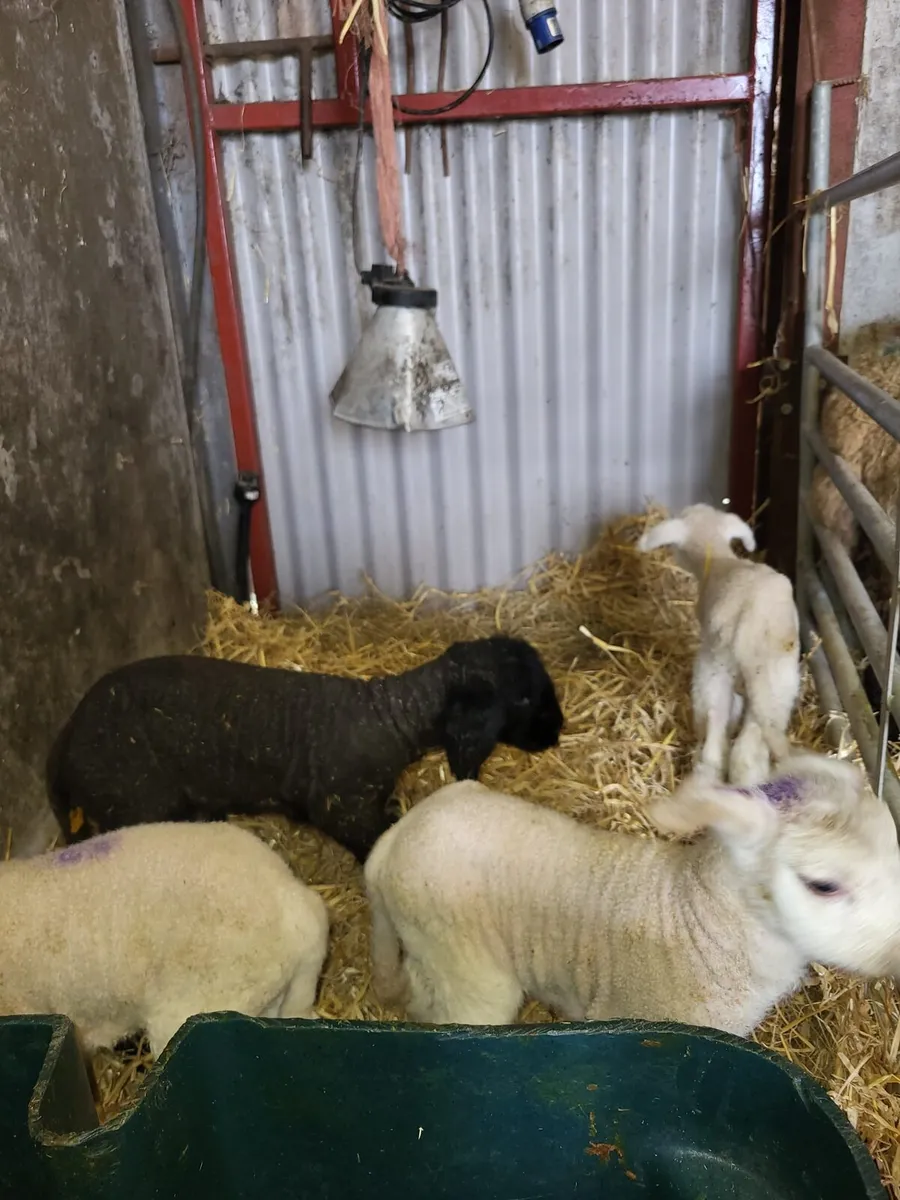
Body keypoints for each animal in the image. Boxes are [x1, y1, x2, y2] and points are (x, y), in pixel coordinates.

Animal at [47, 637, 564, 862]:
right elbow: (373, 838)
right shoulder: (343, 806)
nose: (557, 729)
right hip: (135, 803)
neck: (394, 720)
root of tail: (65, 737)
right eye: (521, 697)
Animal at [637, 504, 800, 785]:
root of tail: (750, 618)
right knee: (747, 748)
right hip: (775, 679)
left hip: (714, 665)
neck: (718, 559)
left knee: (715, 735)